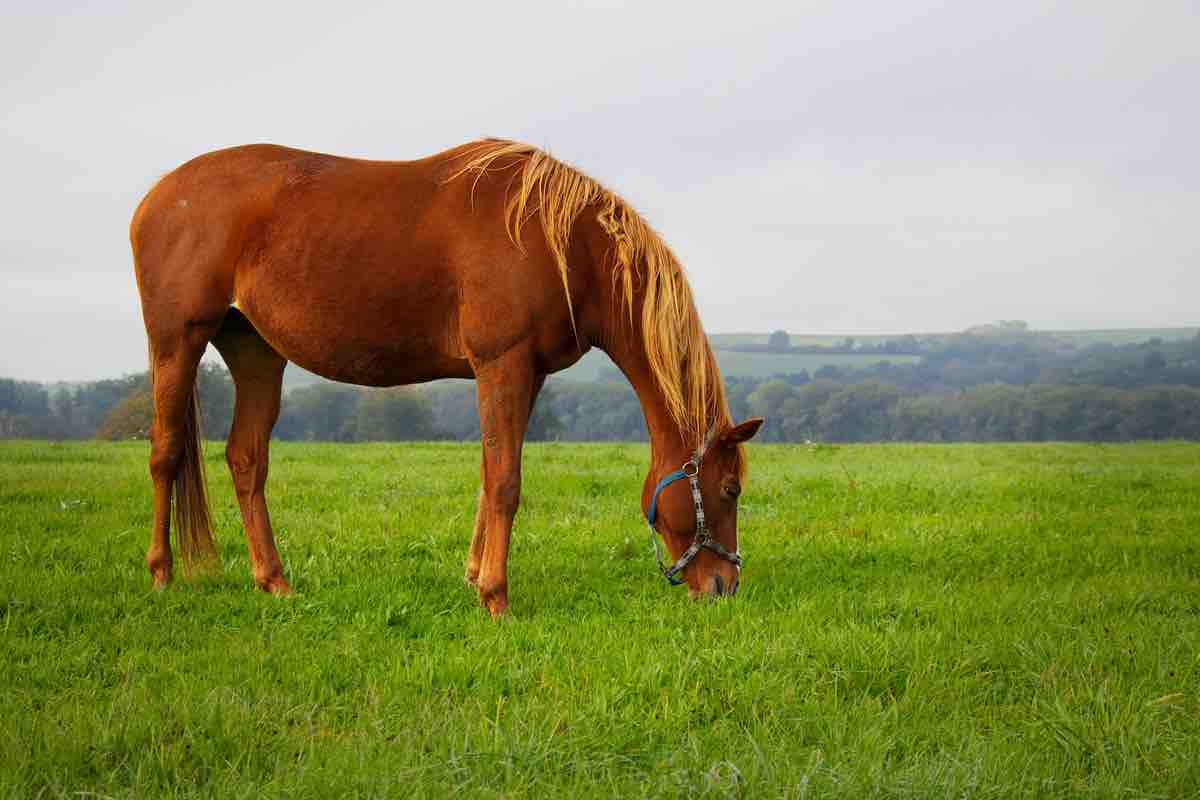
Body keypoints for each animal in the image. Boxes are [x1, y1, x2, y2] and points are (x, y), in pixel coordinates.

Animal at [131, 137, 763, 618]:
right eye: (730, 489)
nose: (724, 586)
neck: (562, 244)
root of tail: (154, 198)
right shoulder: (502, 364)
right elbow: (505, 481)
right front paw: (496, 597)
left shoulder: (524, 374)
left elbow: (489, 473)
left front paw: (474, 574)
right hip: (177, 342)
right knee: (165, 453)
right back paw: (161, 573)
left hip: (256, 354)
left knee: (246, 459)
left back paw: (274, 580)